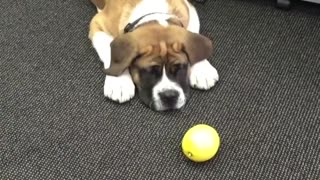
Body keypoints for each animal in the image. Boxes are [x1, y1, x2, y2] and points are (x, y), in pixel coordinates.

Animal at [88, 0, 218, 110]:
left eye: (179, 67)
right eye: (149, 71)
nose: (169, 96)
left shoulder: (190, 11)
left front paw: (202, 69)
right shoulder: (97, 23)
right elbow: (109, 50)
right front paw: (119, 82)